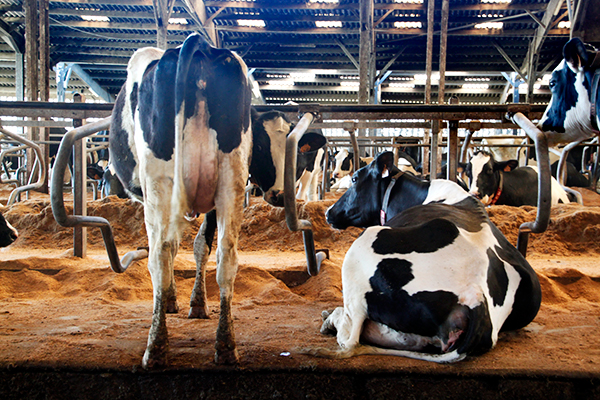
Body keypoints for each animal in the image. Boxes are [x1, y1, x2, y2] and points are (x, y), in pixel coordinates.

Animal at [109, 34, 288, 368]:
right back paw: (226, 345)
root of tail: (200, 45)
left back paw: (156, 346)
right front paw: (195, 303)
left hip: (160, 183)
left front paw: (173, 300)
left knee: (159, 255)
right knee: (226, 258)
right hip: (230, 181)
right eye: (264, 145)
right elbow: (199, 247)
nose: (281, 194)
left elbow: (175, 248)